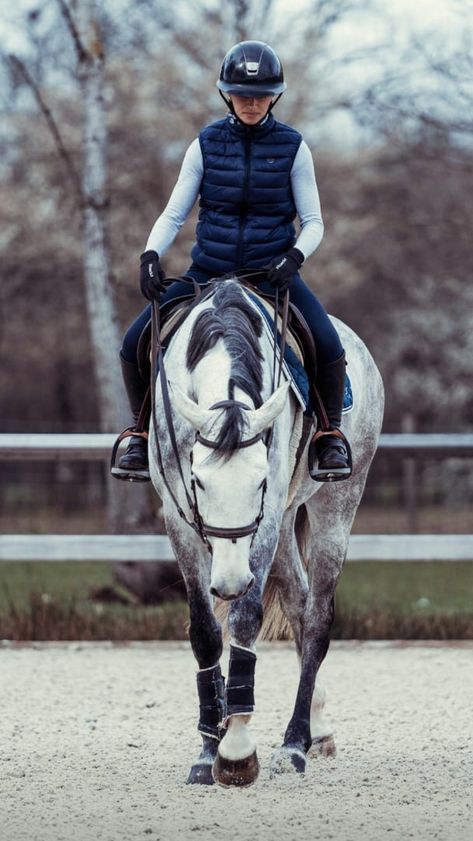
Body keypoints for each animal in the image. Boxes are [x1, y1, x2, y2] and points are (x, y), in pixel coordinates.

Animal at [149, 278, 382, 784]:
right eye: (198, 481)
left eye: (257, 482)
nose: (232, 581)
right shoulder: (178, 517)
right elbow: (204, 631)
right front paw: (207, 752)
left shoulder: (269, 515)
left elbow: (244, 619)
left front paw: (236, 751)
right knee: (297, 604)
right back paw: (318, 730)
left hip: (335, 507)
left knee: (316, 619)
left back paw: (295, 743)